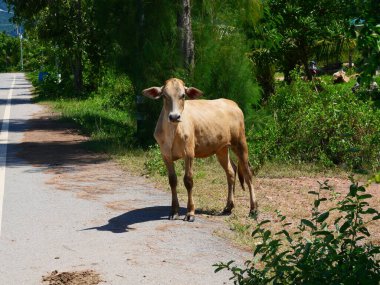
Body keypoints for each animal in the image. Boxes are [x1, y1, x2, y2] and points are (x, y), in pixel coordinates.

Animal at [142, 78, 258, 222]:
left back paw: (253, 209)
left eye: (183, 95)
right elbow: (172, 181)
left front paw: (190, 212)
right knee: (231, 171)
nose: (174, 117)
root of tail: (232, 103)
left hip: (240, 143)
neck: (173, 133)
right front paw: (174, 211)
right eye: (164, 96)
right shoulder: (166, 155)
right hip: (221, 149)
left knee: (248, 174)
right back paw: (228, 207)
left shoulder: (189, 153)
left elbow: (188, 180)